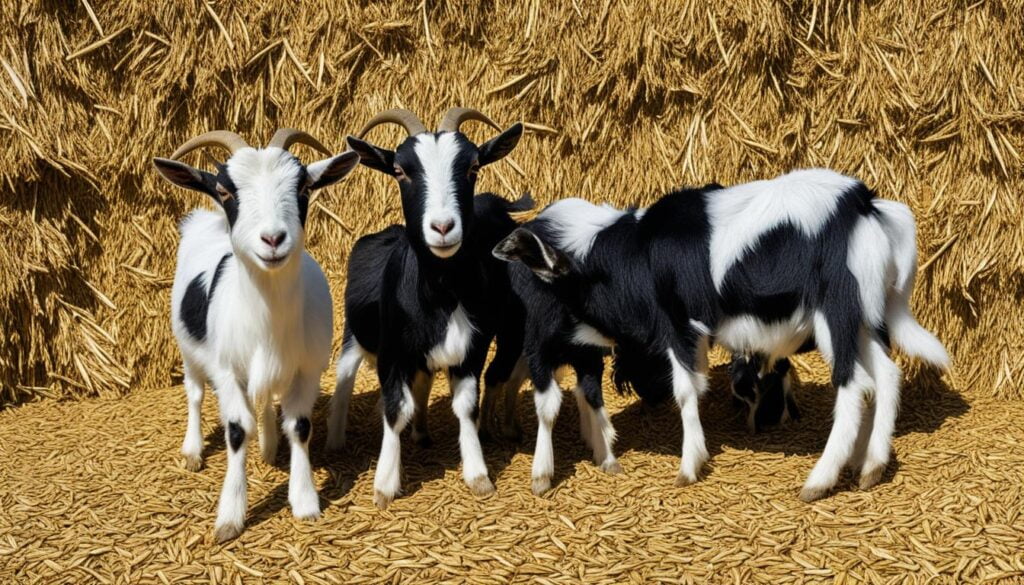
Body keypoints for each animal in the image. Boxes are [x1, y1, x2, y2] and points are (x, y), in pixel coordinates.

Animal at [153, 129, 358, 541]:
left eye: (304, 187)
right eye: (225, 190)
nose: (273, 239)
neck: (269, 321)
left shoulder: (307, 369)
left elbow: (300, 426)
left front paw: (305, 501)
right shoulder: (227, 370)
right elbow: (236, 430)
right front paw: (230, 516)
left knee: (263, 400)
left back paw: (267, 444)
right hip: (189, 351)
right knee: (195, 394)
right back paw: (193, 450)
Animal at [324, 108, 526, 508]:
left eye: (473, 167)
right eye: (400, 170)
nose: (443, 227)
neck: (442, 295)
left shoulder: (472, 349)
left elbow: (465, 405)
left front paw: (478, 474)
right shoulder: (391, 352)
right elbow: (393, 408)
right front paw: (384, 485)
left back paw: (422, 432)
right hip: (354, 335)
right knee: (345, 377)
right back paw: (335, 438)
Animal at [494, 169, 950, 500]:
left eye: (547, 275)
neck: (634, 251)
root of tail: (863, 203)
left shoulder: (679, 325)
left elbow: (685, 390)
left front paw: (689, 466)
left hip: (835, 316)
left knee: (854, 386)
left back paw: (819, 480)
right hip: (863, 321)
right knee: (886, 376)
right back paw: (868, 466)